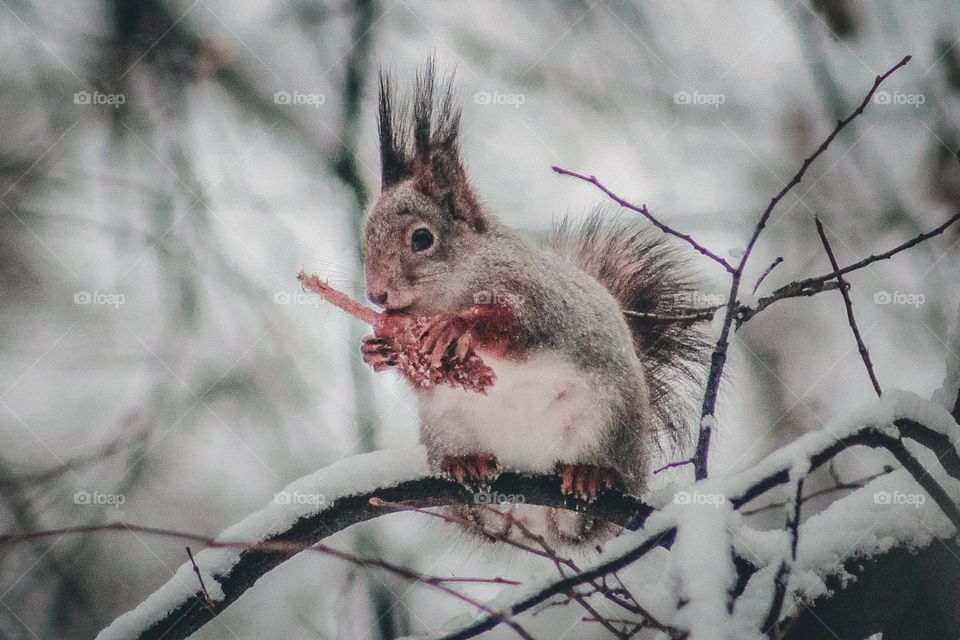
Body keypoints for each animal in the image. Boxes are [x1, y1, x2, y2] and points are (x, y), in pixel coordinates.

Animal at [356, 60, 708, 544]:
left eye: (422, 239)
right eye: (365, 234)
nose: (376, 294)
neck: (453, 287)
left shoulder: (539, 301)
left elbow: (515, 329)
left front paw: (458, 326)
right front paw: (379, 349)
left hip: (609, 421)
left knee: (590, 498)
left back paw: (590, 475)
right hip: (446, 429)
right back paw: (467, 464)